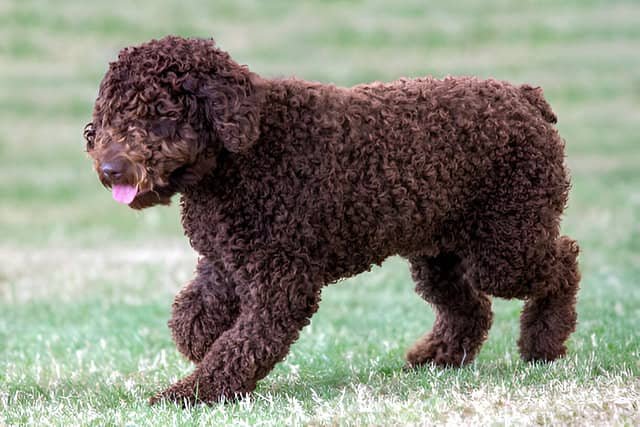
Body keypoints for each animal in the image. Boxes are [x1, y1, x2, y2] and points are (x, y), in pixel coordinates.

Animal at [84, 36, 580, 404]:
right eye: (110, 115)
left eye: (159, 114)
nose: (110, 170)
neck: (241, 157)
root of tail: (526, 98)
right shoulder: (226, 260)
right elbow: (192, 314)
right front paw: (199, 340)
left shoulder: (281, 283)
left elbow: (241, 348)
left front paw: (186, 394)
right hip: (439, 250)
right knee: (470, 306)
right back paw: (438, 357)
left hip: (506, 242)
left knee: (564, 263)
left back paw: (543, 343)